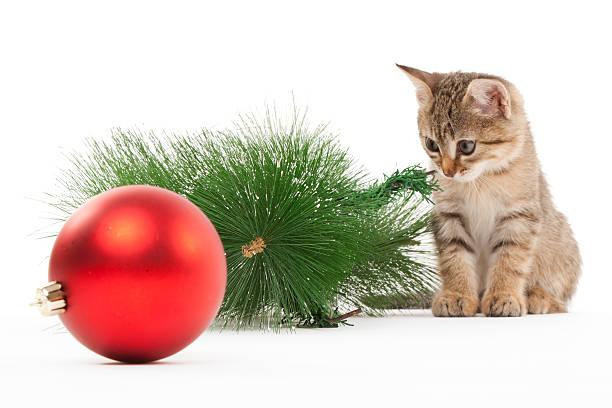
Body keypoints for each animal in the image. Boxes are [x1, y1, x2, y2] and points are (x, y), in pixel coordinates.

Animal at [400, 65, 580, 318]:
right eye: (431, 144)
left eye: (466, 146)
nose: (447, 172)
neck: (481, 181)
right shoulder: (448, 215)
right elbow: (454, 258)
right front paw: (457, 295)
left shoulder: (520, 215)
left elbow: (510, 259)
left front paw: (504, 296)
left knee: (560, 301)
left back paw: (537, 297)